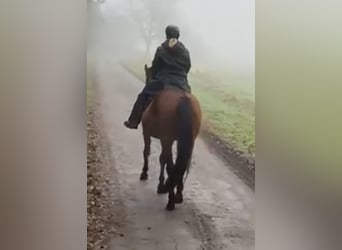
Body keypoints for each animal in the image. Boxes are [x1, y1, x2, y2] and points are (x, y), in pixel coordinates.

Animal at [139, 65, 202, 211]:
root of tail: (184, 100)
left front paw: (146, 174)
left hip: (166, 139)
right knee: (181, 165)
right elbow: (163, 159)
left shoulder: (148, 134)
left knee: (171, 165)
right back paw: (177, 194)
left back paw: (171, 200)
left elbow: (148, 152)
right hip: (187, 141)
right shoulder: (171, 140)